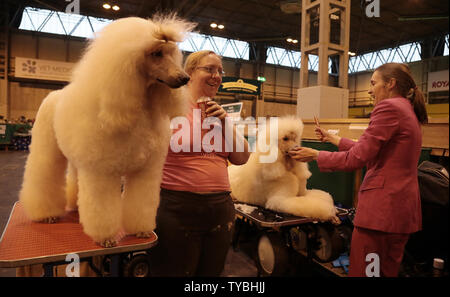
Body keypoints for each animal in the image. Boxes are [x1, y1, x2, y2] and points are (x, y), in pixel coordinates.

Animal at [19, 14, 195, 245]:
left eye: (171, 53)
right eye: (156, 53)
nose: (185, 78)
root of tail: (53, 96)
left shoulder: (146, 171)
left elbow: (141, 203)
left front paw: (141, 230)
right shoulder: (101, 172)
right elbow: (101, 208)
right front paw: (106, 238)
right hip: (47, 149)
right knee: (43, 174)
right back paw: (46, 214)